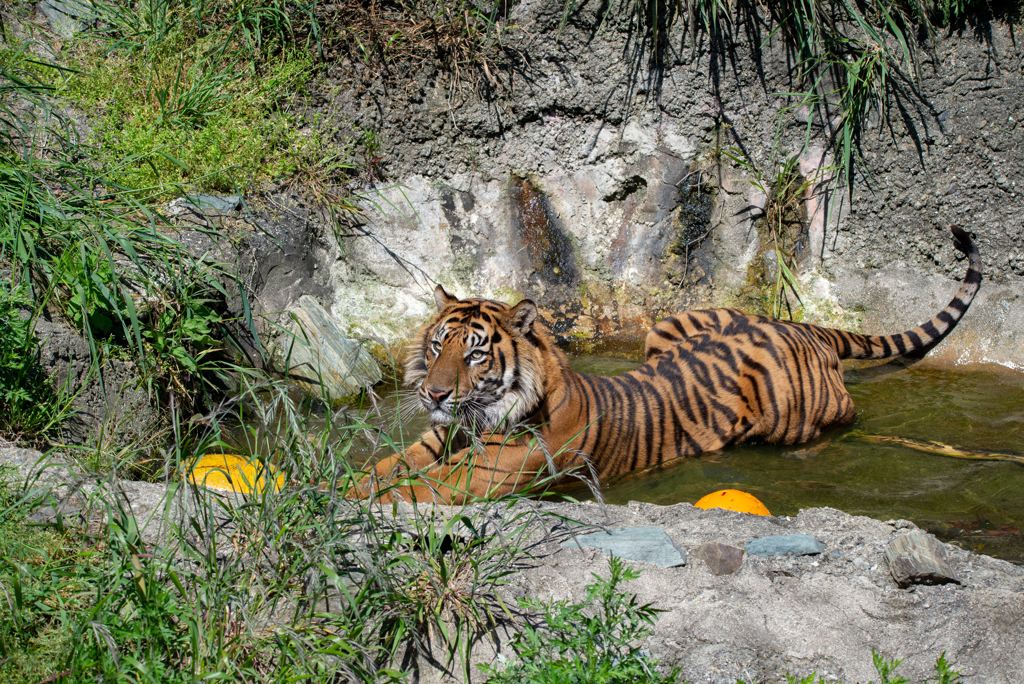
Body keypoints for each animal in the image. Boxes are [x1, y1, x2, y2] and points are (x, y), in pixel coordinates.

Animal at [354, 227, 983, 505]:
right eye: (438, 346)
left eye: (475, 353)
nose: (434, 395)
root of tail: (797, 324)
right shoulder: (437, 439)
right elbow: (385, 468)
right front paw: (346, 484)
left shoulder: (491, 468)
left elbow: (417, 487)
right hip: (668, 327)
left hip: (794, 413)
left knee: (839, 418)